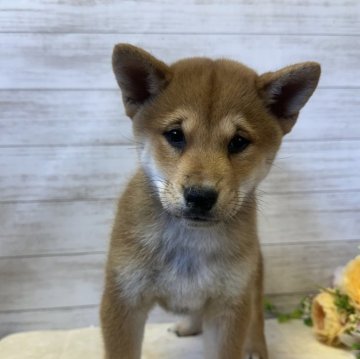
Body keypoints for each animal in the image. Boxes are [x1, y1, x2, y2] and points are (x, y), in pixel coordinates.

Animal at [99, 43, 320, 359]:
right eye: (175, 135)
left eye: (238, 142)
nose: (200, 196)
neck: (189, 242)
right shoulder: (124, 300)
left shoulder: (229, 308)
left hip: (251, 281)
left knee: (256, 318)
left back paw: (254, 348)